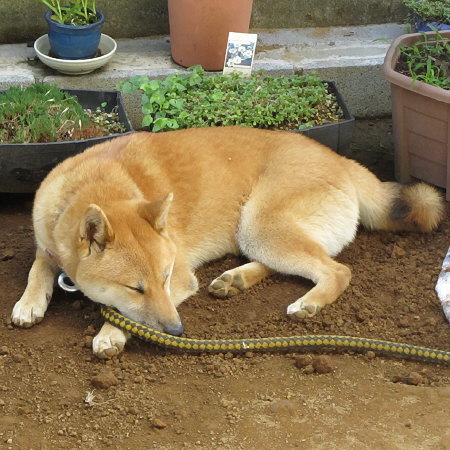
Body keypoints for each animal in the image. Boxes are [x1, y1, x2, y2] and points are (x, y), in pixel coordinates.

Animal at [10, 126, 442, 358]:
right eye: (136, 288)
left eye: (164, 278)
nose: (177, 332)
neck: (94, 187)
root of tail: (342, 160)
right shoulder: (47, 245)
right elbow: (38, 268)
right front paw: (30, 302)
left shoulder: (182, 279)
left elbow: (125, 315)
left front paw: (111, 332)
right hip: (256, 232)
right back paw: (235, 280)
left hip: (259, 224)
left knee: (336, 270)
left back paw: (310, 303)